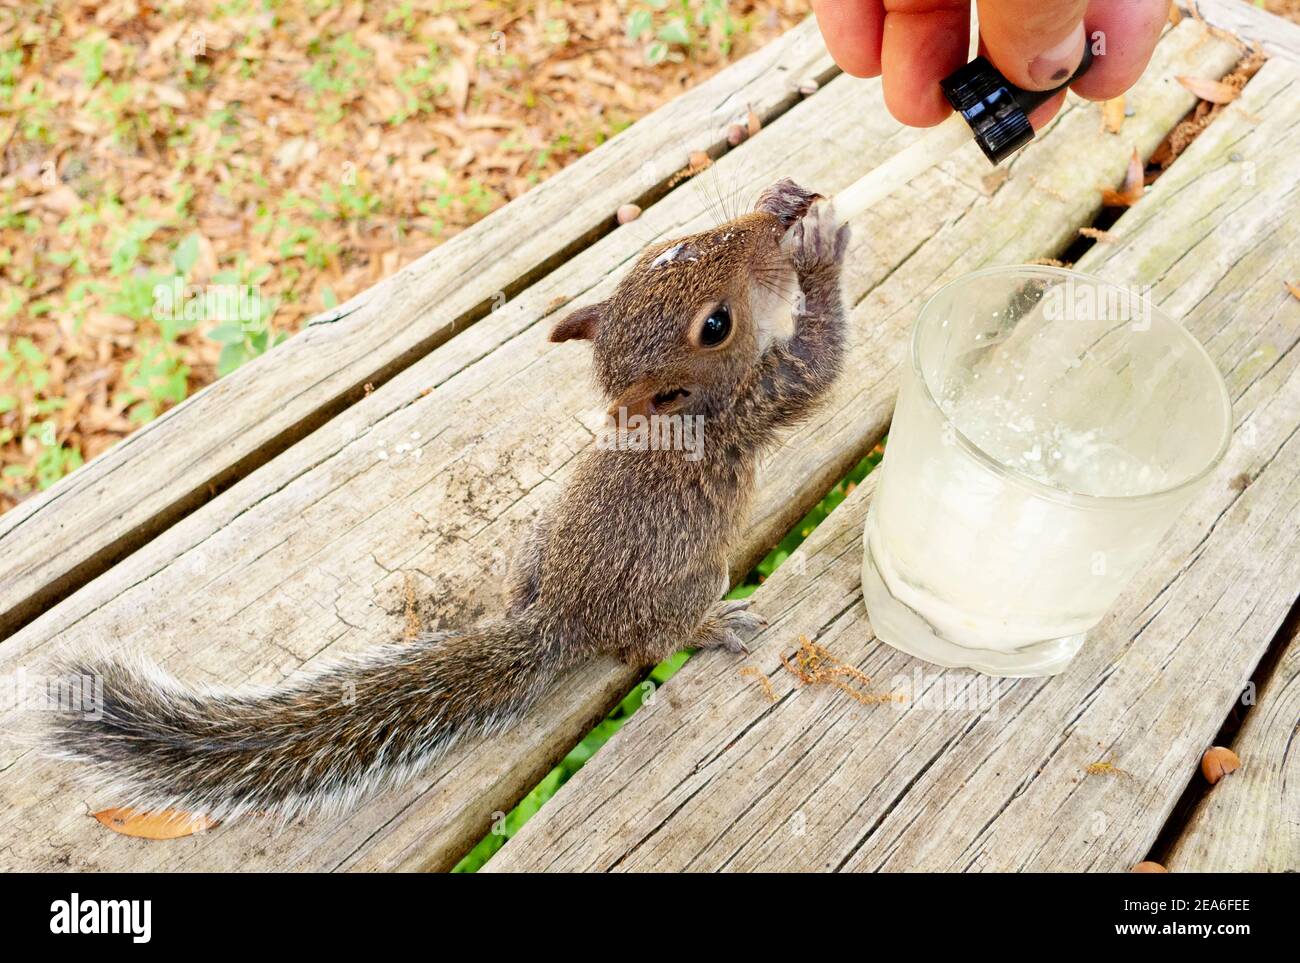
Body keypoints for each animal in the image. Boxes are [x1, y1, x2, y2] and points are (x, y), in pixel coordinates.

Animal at [46, 179, 850, 822]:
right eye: (716, 325)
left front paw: (787, 206)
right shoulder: (755, 406)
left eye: (669, 244)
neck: (676, 419)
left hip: (538, 540)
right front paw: (819, 250)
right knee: (651, 643)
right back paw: (714, 625)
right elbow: (817, 362)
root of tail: (561, 617)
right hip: (685, 585)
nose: (769, 225)